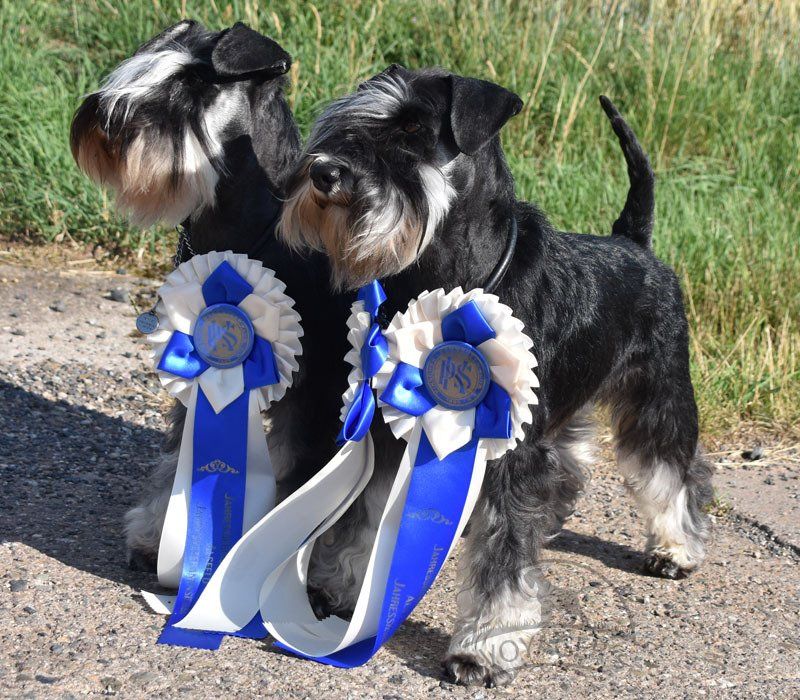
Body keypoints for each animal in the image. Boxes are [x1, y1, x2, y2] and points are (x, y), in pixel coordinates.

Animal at [71, 20, 351, 570]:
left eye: (195, 84)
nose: (105, 117)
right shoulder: (201, 362)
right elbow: (182, 452)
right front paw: (161, 536)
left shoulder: (315, 385)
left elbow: (303, 473)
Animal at [279, 65, 714, 686]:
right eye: (348, 120)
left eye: (412, 130)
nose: (323, 172)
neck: (450, 279)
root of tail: (636, 243)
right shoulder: (393, 425)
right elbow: (365, 513)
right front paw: (338, 586)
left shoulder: (512, 450)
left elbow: (504, 557)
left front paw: (484, 647)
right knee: (571, 459)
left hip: (660, 395)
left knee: (673, 469)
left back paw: (677, 548)